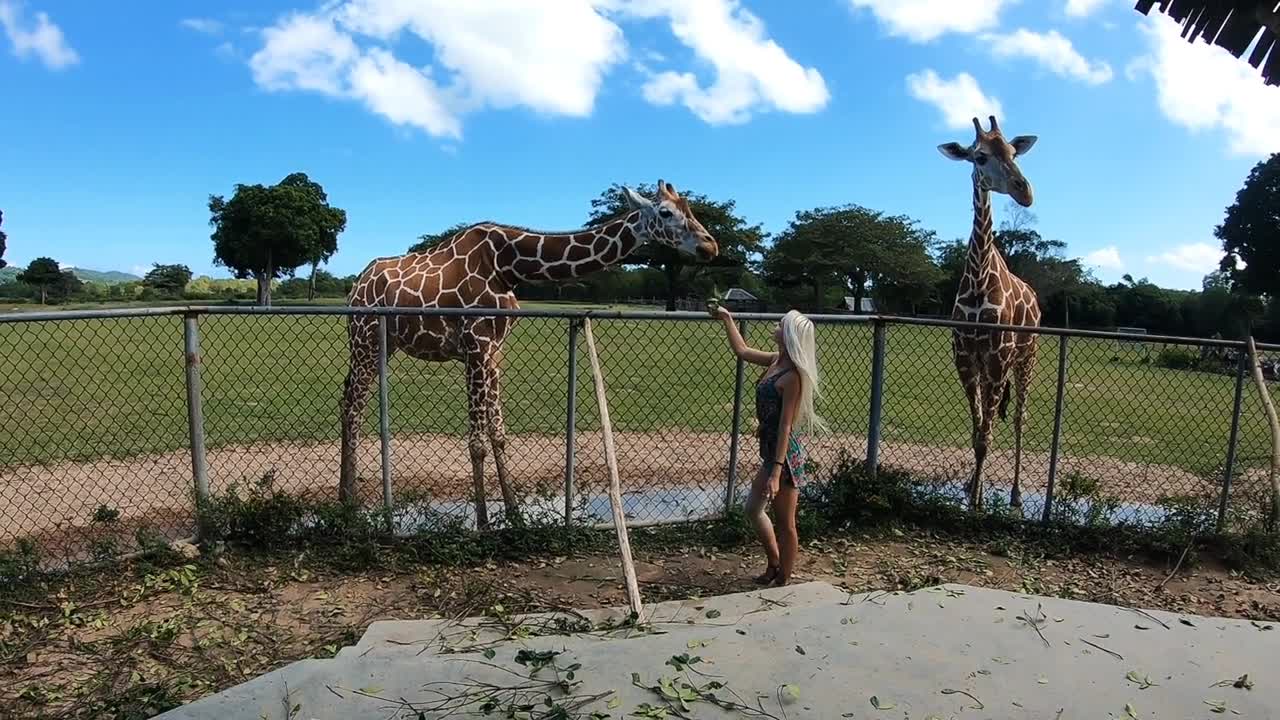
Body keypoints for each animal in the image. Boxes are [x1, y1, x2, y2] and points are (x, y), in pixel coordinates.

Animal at [340, 179, 721, 527]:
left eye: (691, 209)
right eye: (665, 212)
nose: (711, 245)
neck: (509, 266)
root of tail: (356, 286)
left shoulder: (494, 351)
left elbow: (499, 433)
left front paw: (514, 517)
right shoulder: (476, 345)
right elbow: (476, 441)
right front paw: (482, 523)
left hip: (382, 345)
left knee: (348, 399)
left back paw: (346, 500)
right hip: (365, 339)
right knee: (353, 406)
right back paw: (349, 508)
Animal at [936, 116, 1044, 509]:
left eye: (1013, 152)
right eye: (979, 157)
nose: (1024, 191)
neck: (980, 278)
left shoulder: (998, 357)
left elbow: (987, 434)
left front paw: (976, 504)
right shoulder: (967, 357)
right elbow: (977, 432)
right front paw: (973, 492)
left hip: (1026, 359)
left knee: (1019, 418)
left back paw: (1014, 494)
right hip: (991, 368)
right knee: (991, 420)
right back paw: (976, 484)